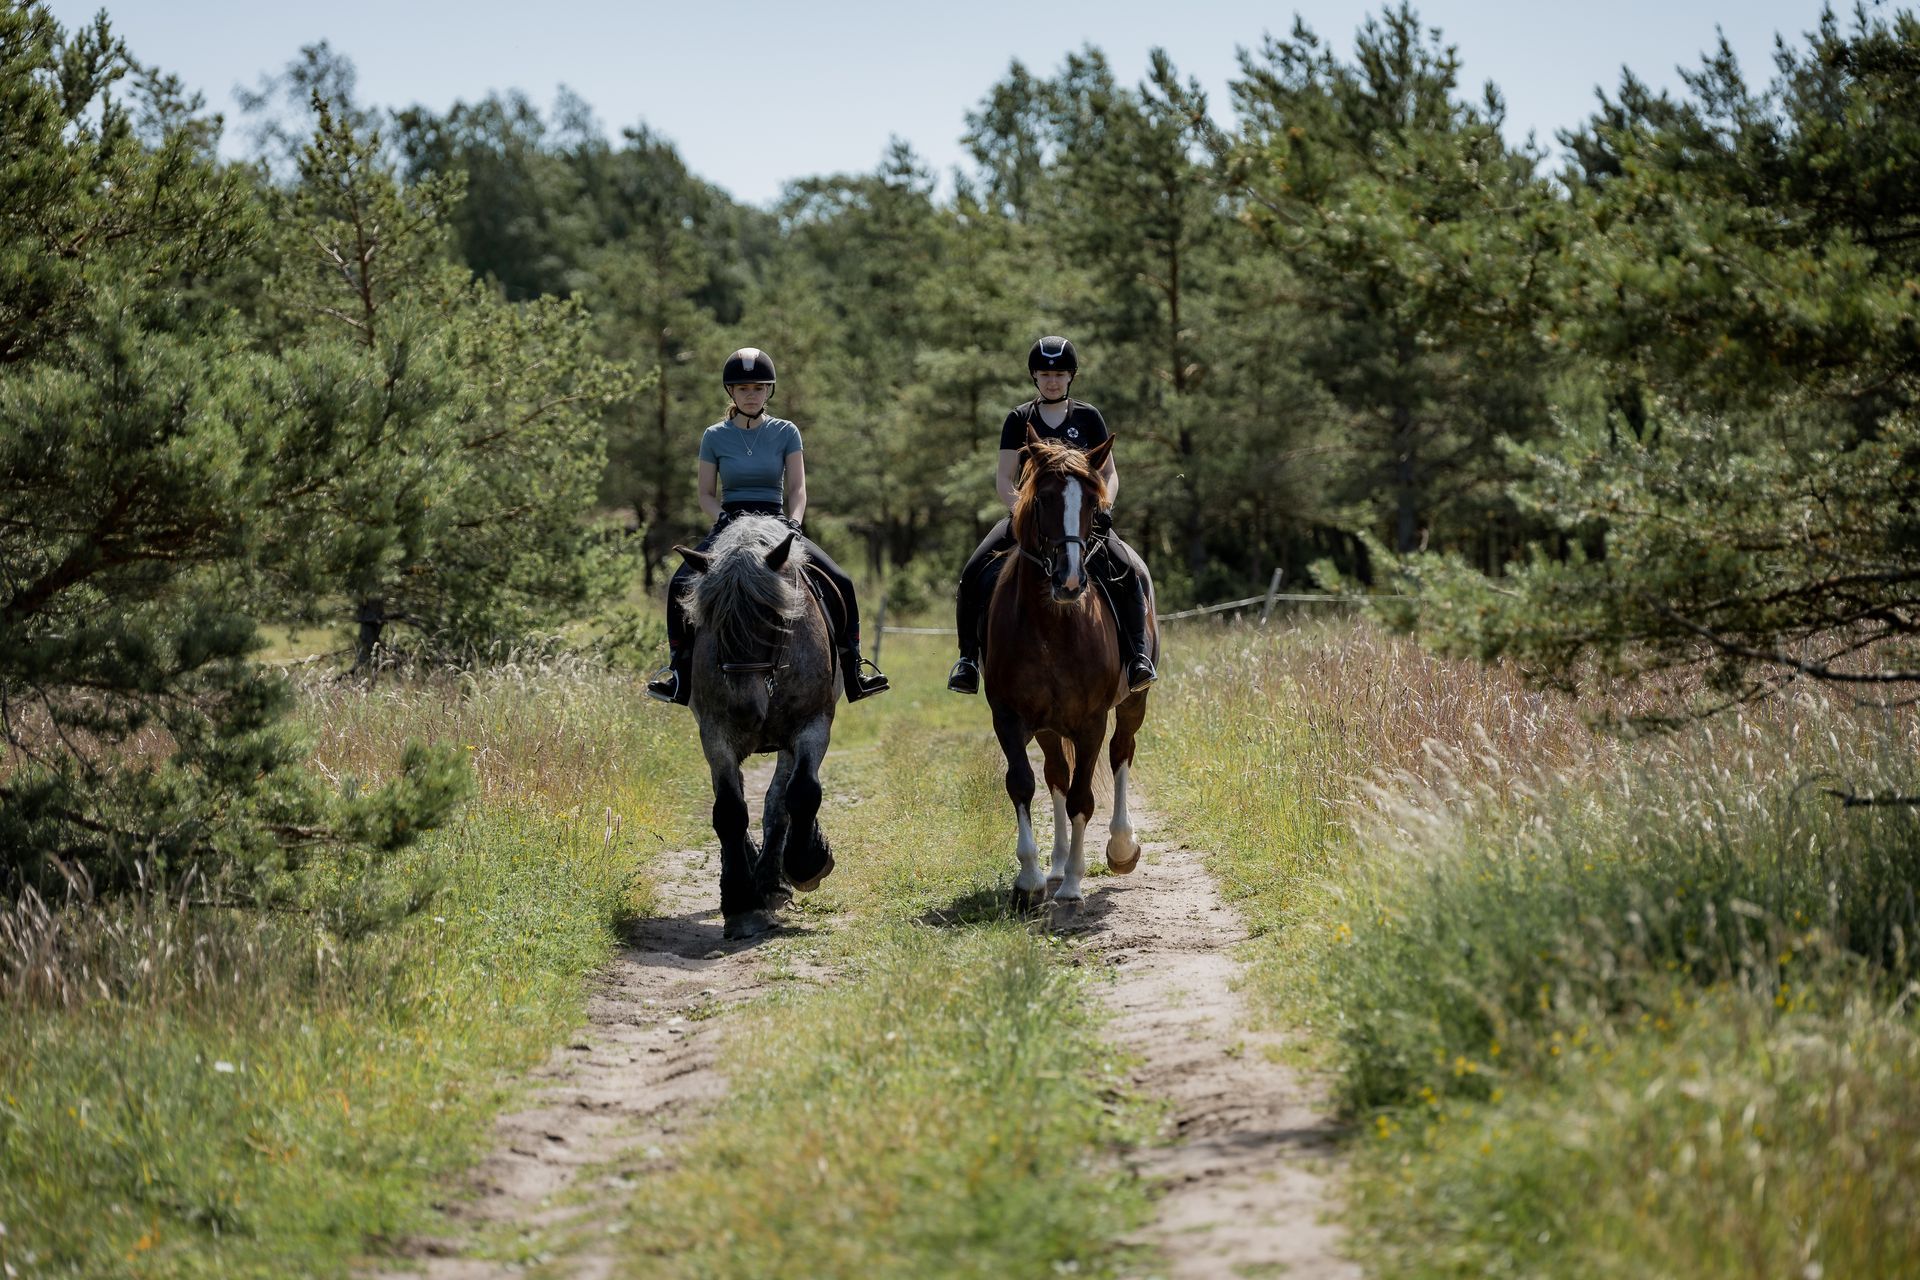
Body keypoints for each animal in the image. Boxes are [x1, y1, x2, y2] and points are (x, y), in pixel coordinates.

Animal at [673, 514, 838, 939]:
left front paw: (806, 864)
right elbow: (730, 810)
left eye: (774, 619)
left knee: (779, 800)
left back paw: (772, 880)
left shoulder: (812, 726)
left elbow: (801, 794)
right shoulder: (716, 735)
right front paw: (740, 904)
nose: (746, 712)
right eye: (712, 622)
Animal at [984, 426, 1158, 911]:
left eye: (1094, 505)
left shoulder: (1090, 722)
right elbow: (1023, 784)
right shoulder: (1008, 717)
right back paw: (1058, 862)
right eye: (1043, 499)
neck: (1052, 625)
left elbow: (1083, 797)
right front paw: (1030, 879)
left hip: (1134, 702)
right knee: (1056, 776)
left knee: (1121, 753)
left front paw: (1075, 885)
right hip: (1047, 726)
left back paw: (1121, 847)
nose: (1070, 581)